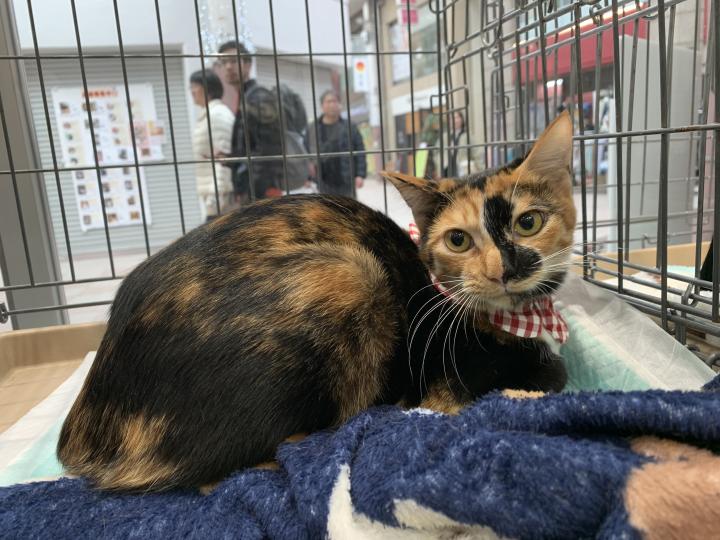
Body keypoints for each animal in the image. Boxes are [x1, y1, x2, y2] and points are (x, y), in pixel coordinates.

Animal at [57, 112, 575, 492]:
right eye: (458, 240)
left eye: (529, 222)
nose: (504, 268)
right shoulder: (445, 387)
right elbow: (550, 374)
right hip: (346, 274)